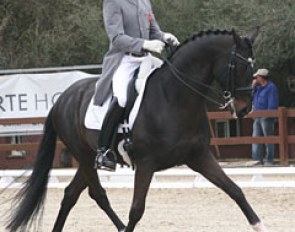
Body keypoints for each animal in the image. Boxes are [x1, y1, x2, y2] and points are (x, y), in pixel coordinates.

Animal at [5, 29, 270, 232]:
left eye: (254, 67)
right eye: (239, 67)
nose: (245, 109)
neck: (174, 98)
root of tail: (62, 99)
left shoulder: (199, 156)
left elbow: (235, 190)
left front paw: (260, 225)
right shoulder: (146, 164)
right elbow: (136, 210)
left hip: (87, 157)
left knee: (71, 194)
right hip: (83, 154)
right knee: (98, 194)